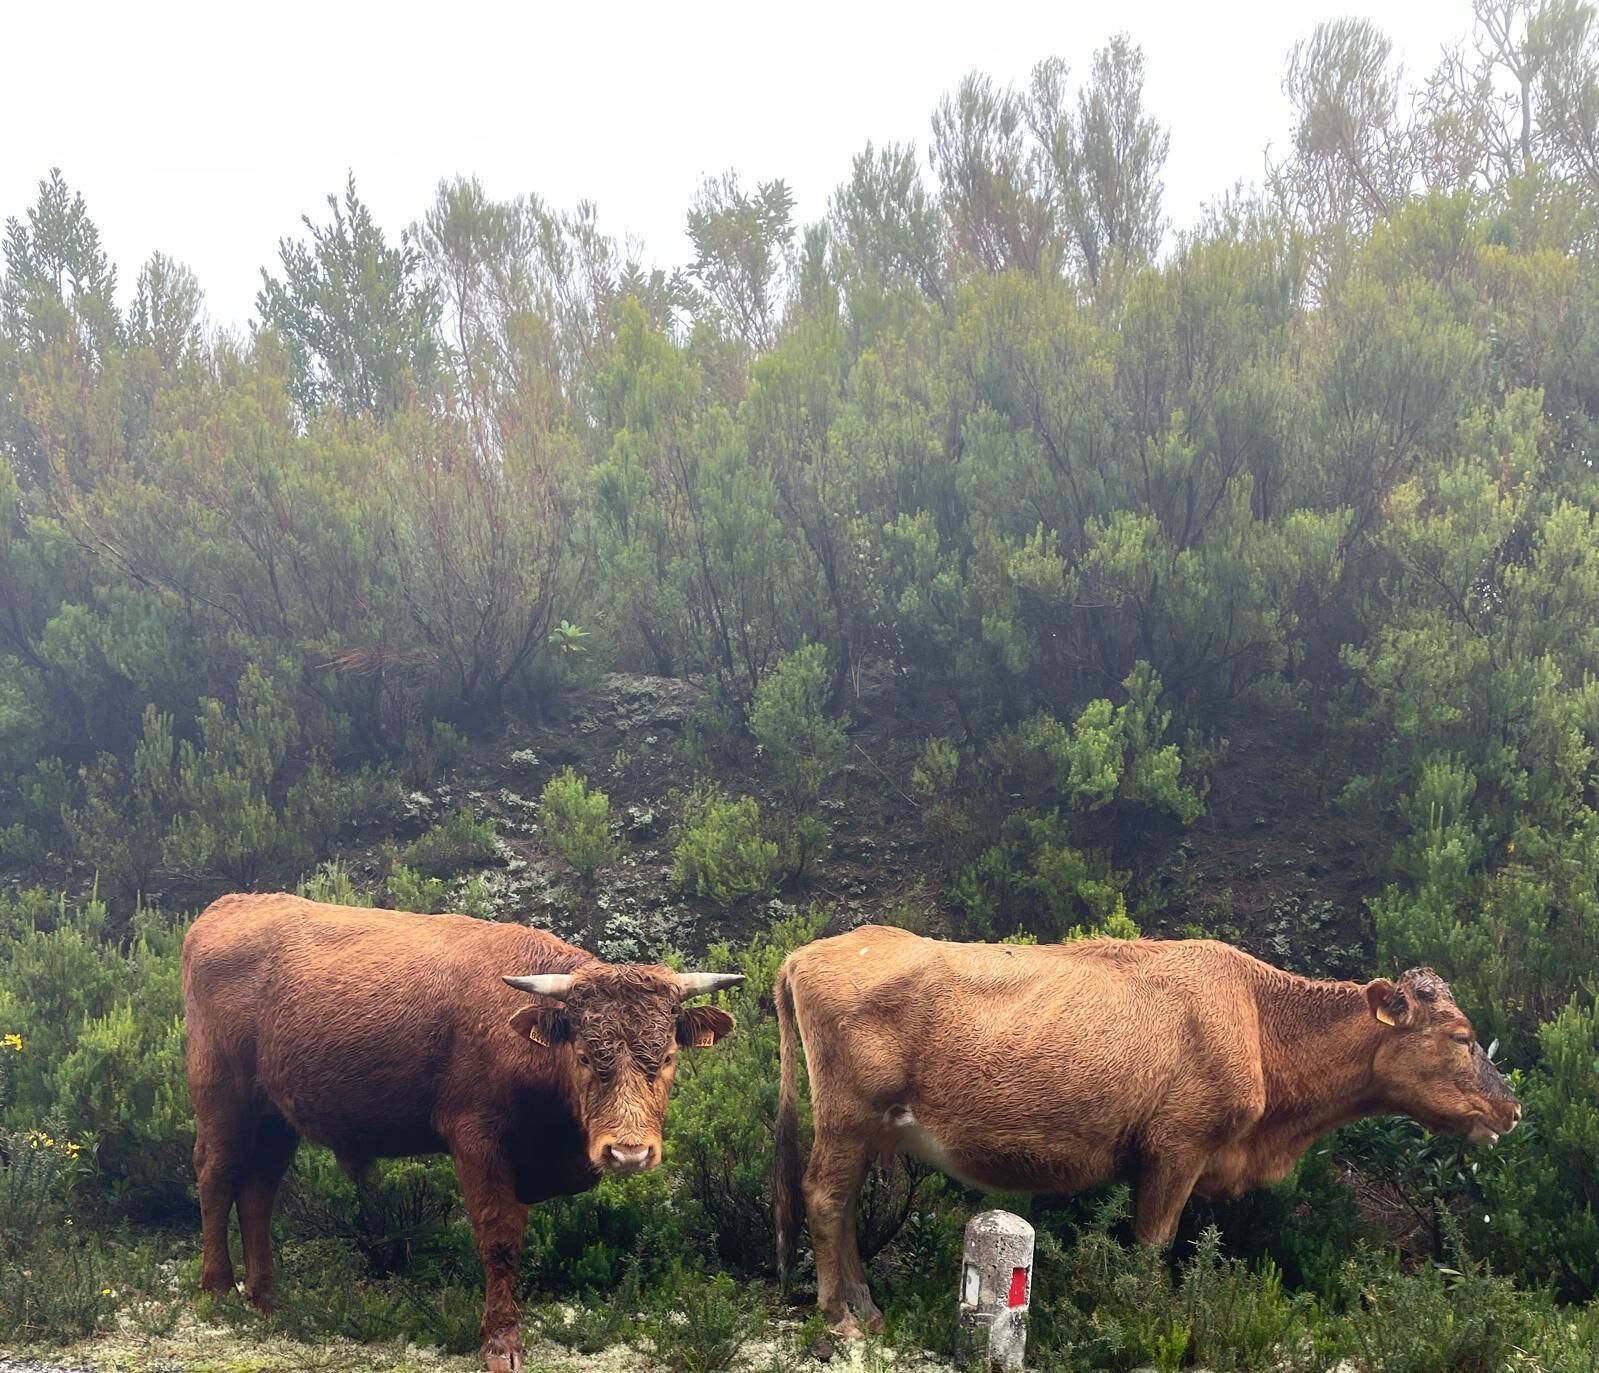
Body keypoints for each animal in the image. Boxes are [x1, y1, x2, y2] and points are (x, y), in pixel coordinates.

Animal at [182, 893, 743, 1372]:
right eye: (584, 1055)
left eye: (666, 1057)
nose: (627, 1154)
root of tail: (226, 907)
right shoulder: (477, 1141)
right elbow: (499, 1238)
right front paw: (501, 1342)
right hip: (222, 1098)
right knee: (216, 1176)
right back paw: (218, 1291)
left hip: (274, 1117)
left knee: (258, 1190)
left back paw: (266, 1299)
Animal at [772, 925, 1521, 1338]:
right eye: (1462, 1036)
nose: (1511, 1109)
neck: (1259, 1021)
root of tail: (808, 952)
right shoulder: (1176, 1149)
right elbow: (1152, 1245)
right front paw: (1141, 1314)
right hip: (845, 1117)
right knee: (824, 1199)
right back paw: (841, 1314)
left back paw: (865, 1304)